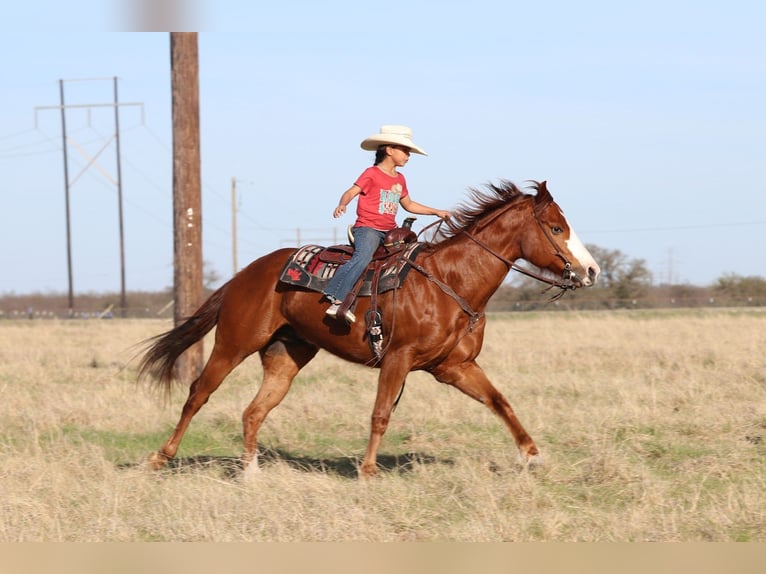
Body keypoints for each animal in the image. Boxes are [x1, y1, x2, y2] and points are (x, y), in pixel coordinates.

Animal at [138, 180, 600, 478]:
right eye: (556, 228)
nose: (591, 270)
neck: (449, 280)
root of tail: (245, 274)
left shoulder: (455, 367)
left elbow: (500, 402)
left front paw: (533, 455)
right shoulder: (397, 358)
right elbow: (380, 415)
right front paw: (368, 470)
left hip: (287, 355)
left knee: (254, 411)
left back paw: (251, 474)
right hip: (234, 343)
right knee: (198, 393)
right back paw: (160, 457)